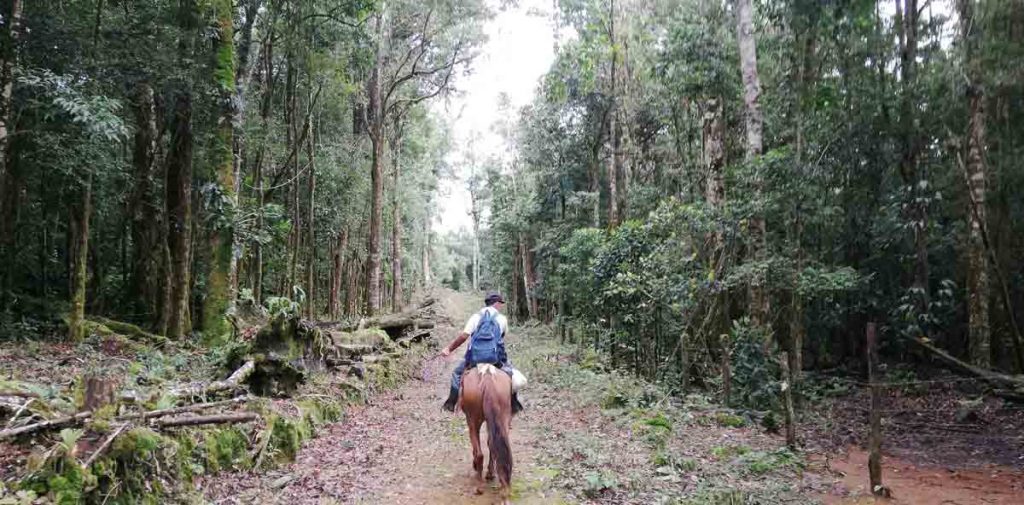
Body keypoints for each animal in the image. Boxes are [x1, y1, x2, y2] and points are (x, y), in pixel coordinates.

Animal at [460, 362, 516, 499]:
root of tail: (487, 377)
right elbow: (490, 443)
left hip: (473, 420)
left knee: (480, 453)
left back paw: (479, 486)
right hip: (503, 417)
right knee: (497, 445)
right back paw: (494, 476)